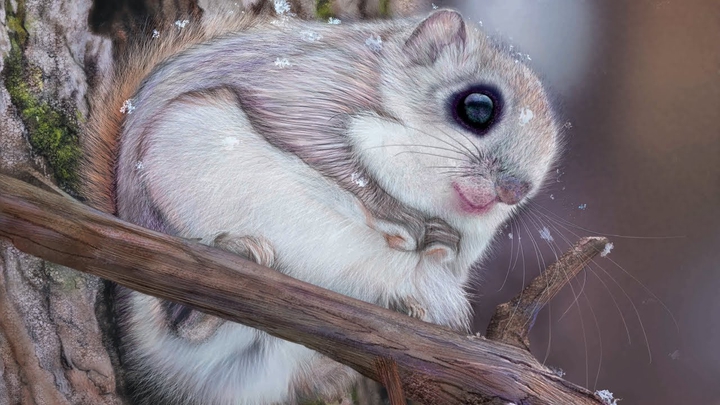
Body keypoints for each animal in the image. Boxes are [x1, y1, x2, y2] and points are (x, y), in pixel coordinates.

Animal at [81, 6, 559, 405]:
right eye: (477, 107)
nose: (516, 190)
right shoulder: (311, 90)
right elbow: (326, 151)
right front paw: (404, 219)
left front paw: (440, 242)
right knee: (177, 323)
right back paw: (221, 274)